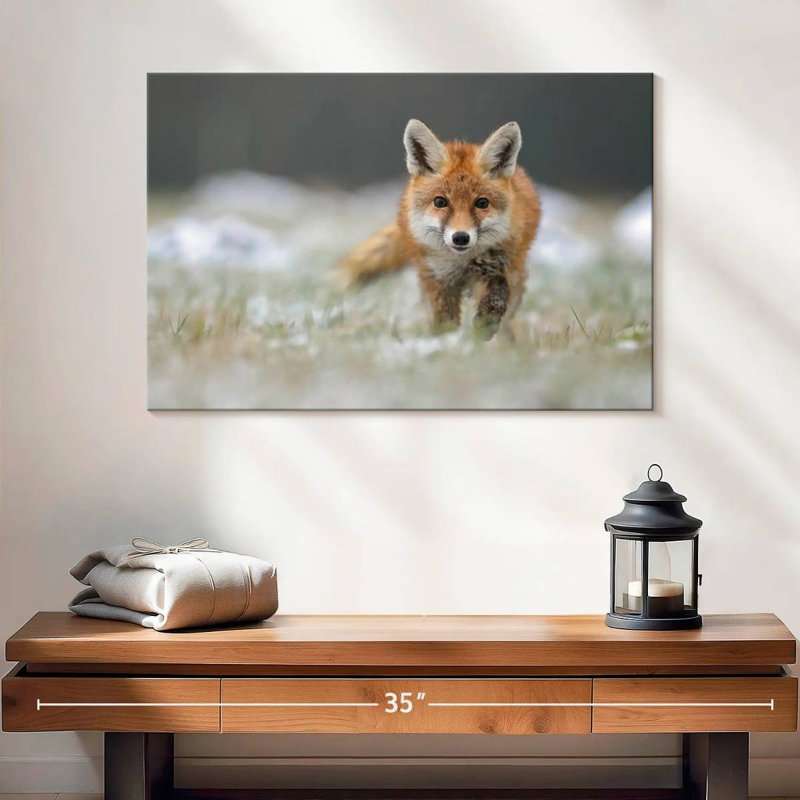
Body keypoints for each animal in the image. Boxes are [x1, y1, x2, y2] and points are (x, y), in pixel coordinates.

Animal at [338, 119, 541, 340]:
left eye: (482, 203)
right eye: (440, 202)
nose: (460, 237)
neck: (462, 263)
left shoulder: (499, 267)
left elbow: (498, 295)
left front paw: (485, 324)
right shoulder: (438, 278)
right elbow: (445, 320)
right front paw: (447, 341)